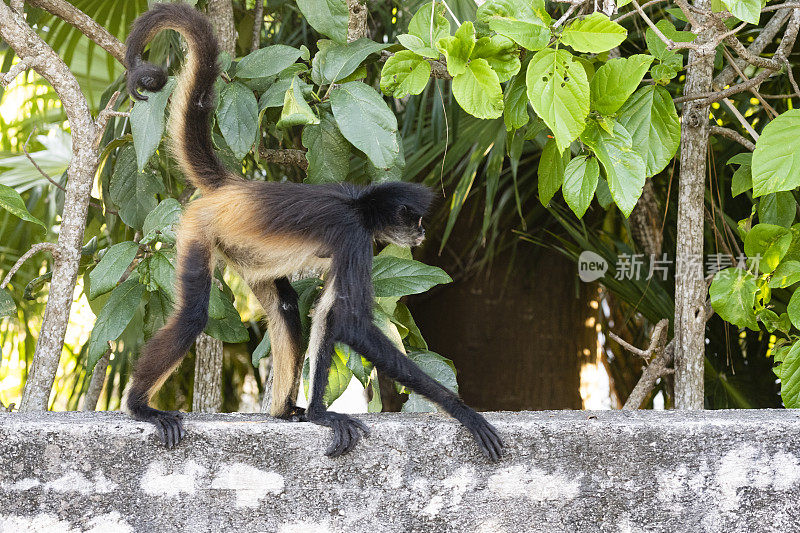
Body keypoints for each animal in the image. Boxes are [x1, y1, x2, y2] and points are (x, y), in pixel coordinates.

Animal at [122, 3, 504, 462]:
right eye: (415, 219)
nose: (423, 231)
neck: (360, 205)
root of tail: (235, 188)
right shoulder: (355, 237)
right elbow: (353, 323)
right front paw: (463, 411)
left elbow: (326, 313)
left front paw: (321, 413)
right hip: (200, 229)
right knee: (194, 313)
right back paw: (140, 407)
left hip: (243, 251)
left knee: (287, 309)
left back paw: (285, 410)